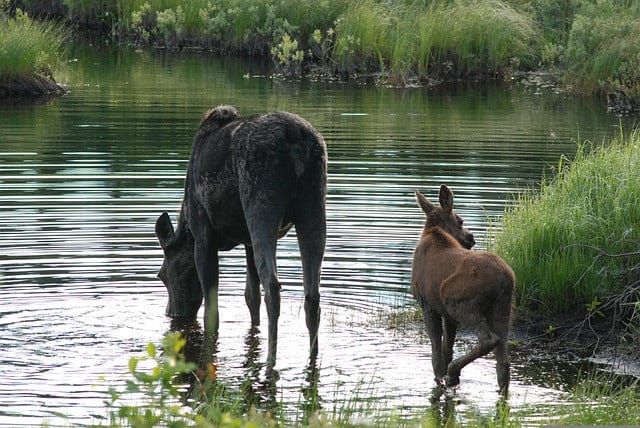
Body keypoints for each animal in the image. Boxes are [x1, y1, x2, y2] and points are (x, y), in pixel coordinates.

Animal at [411, 184, 515, 394]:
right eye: (460, 221)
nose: (471, 237)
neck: (431, 232)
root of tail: (505, 278)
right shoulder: (447, 315)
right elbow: (447, 348)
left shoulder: (427, 304)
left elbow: (436, 352)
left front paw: (440, 378)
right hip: (502, 309)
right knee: (503, 361)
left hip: (458, 301)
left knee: (488, 340)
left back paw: (453, 372)